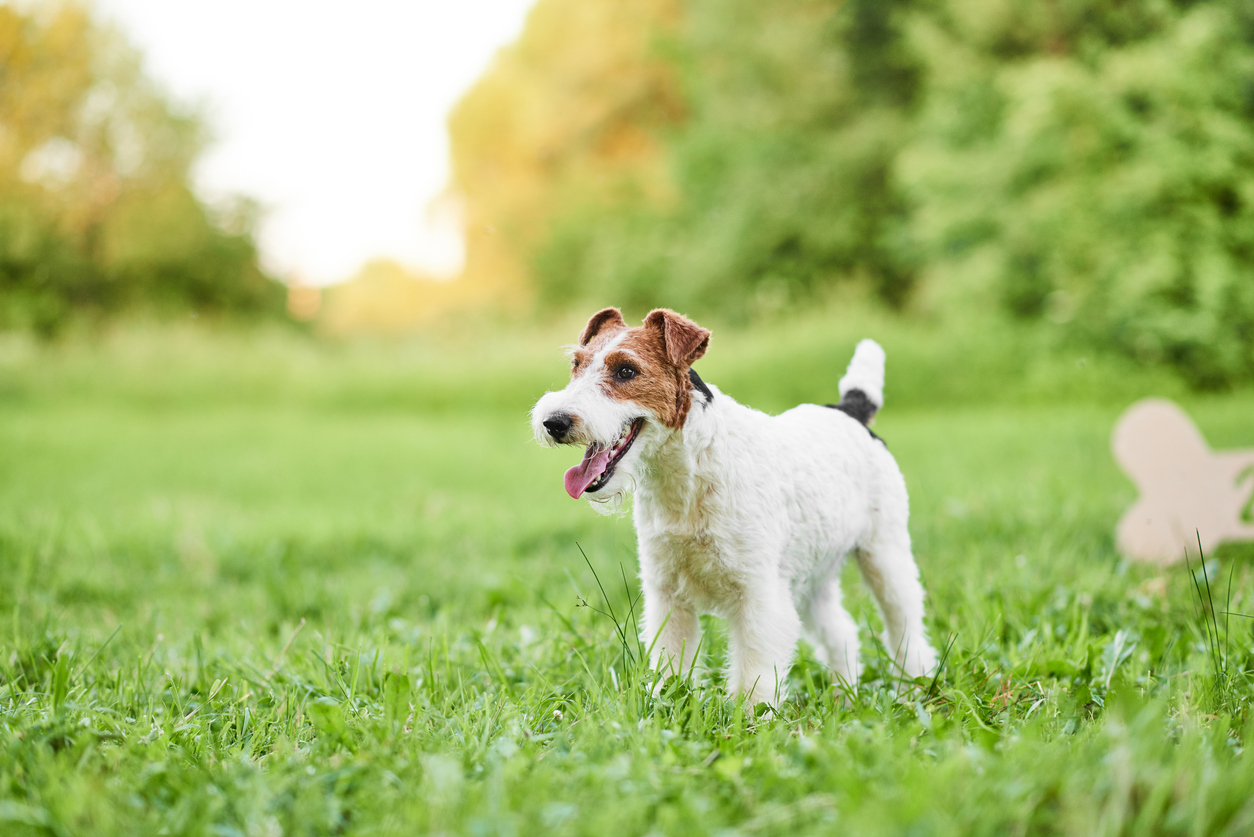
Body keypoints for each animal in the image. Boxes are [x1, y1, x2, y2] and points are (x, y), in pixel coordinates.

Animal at [534, 309, 937, 707]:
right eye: (576, 364)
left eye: (626, 371)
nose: (554, 422)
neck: (687, 475)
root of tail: (850, 410)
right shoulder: (667, 593)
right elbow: (671, 662)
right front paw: (668, 705)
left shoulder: (757, 593)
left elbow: (755, 673)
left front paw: (752, 716)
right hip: (811, 573)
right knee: (842, 632)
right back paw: (844, 694)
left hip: (884, 556)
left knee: (906, 630)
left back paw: (913, 689)